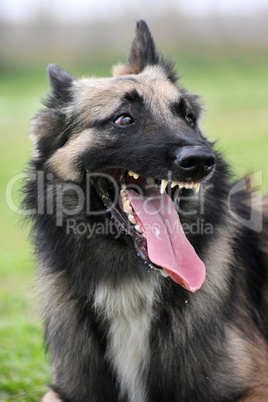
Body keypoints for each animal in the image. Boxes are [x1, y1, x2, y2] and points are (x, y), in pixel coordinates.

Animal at [23, 21, 268, 402]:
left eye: (188, 117)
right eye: (124, 120)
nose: (202, 161)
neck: (130, 281)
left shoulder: (255, 386)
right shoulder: (64, 390)